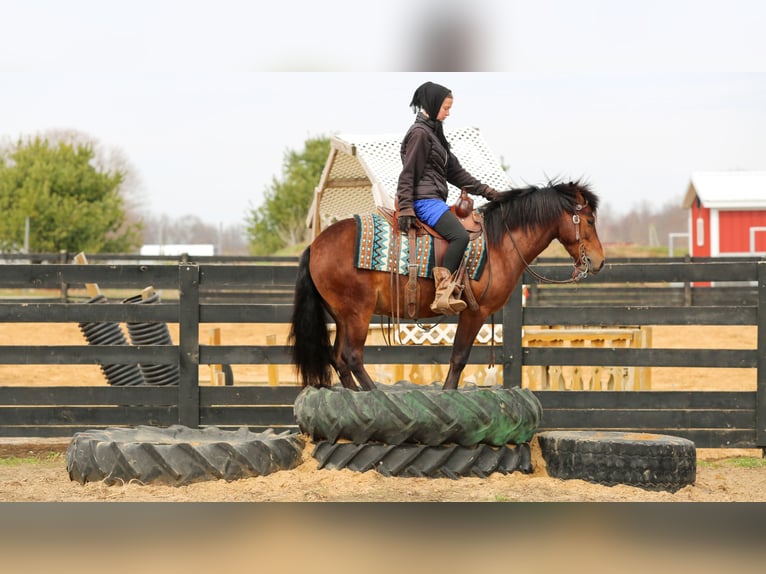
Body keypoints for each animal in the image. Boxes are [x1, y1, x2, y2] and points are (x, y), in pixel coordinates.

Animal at [288, 180, 605, 391]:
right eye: (589, 219)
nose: (599, 261)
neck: (500, 243)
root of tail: (315, 246)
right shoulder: (475, 312)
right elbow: (459, 358)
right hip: (357, 313)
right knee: (352, 357)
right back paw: (375, 395)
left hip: (342, 316)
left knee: (338, 359)